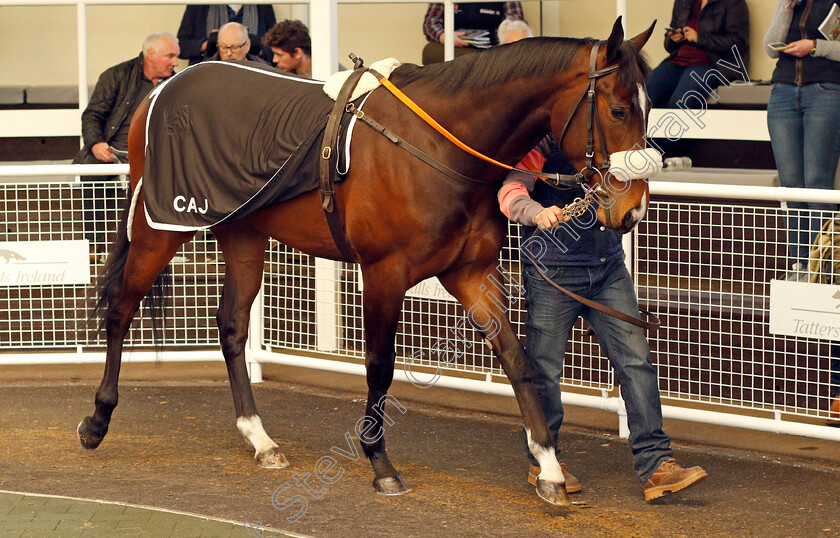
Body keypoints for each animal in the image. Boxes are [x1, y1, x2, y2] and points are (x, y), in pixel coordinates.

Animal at [80, 18, 656, 504]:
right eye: (619, 110)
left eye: (648, 107)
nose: (632, 208)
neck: (436, 146)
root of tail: (160, 89)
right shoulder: (384, 274)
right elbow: (380, 366)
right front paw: (380, 463)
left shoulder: (471, 274)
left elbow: (517, 360)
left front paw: (550, 468)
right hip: (159, 228)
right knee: (121, 309)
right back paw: (97, 420)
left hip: (242, 232)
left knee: (231, 325)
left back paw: (259, 438)